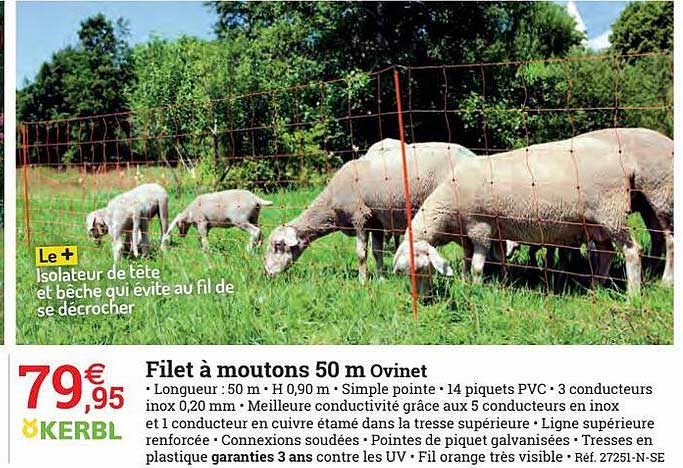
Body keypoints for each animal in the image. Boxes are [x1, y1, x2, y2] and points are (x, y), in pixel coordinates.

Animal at [264, 139, 479, 282]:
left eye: (278, 245)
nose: (266, 272)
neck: (331, 205)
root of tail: (473, 156)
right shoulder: (376, 223)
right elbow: (377, 252)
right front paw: (381, 278)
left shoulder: (361, 218)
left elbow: (361, 253)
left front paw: (362, 281)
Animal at [393, 128, 673, 299]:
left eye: (424, 270)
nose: (424, 300)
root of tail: (623, 161)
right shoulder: (479, 234)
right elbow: (474, 261)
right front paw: (489, 283)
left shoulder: (481, 227)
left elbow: (477, 266)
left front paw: (477, 289)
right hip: (597, 223)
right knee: (607, 253)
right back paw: (595, 289)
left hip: (615, 211)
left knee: (633, 250)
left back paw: (634, 295)